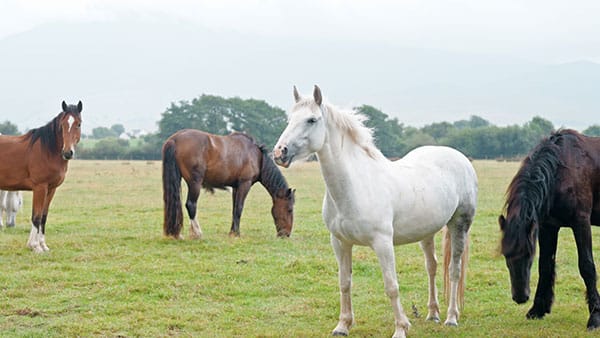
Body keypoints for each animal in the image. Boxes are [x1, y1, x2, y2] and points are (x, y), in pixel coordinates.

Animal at [0, 101, 83, 252]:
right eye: (63, 125)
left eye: (78, 124)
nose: (67, 153)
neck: (47, 151)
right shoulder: (40, 188)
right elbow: (36, 216)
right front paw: (35, 246)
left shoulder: (51, 189)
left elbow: (43, 216)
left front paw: (43, 245)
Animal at [161, 128, 294, 239]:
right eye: (289, 209)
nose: (286, 234)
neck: (257, 157)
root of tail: (175, 139)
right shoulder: (244, 184)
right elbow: (239, 208)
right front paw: (236, 234)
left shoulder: (236, 187)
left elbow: (234, 209)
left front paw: (232, 232)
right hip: (195, 183)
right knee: (191, 205)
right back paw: (197, 233)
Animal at [274, 85, 478, 338]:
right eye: (289, 119)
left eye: (311, 120)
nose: (279, 153)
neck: (356, 185)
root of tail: (459, 158)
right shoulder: (340, 242)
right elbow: (344, 282)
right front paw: (343, 325)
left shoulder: (383, 243)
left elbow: (391, 286)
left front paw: (401, 327)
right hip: (427, 232)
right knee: (432, 267)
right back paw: (433, 314)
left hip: (459, 225)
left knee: (454, 270)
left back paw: (451, 318)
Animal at [500, 129, 600, 330]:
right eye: (506, 256)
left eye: (528, 255)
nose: (520, 297)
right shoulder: (548, 227)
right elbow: (545, 266)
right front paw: (537, 309)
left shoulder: (581, 223)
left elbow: (587, 266)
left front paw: (595, 317)